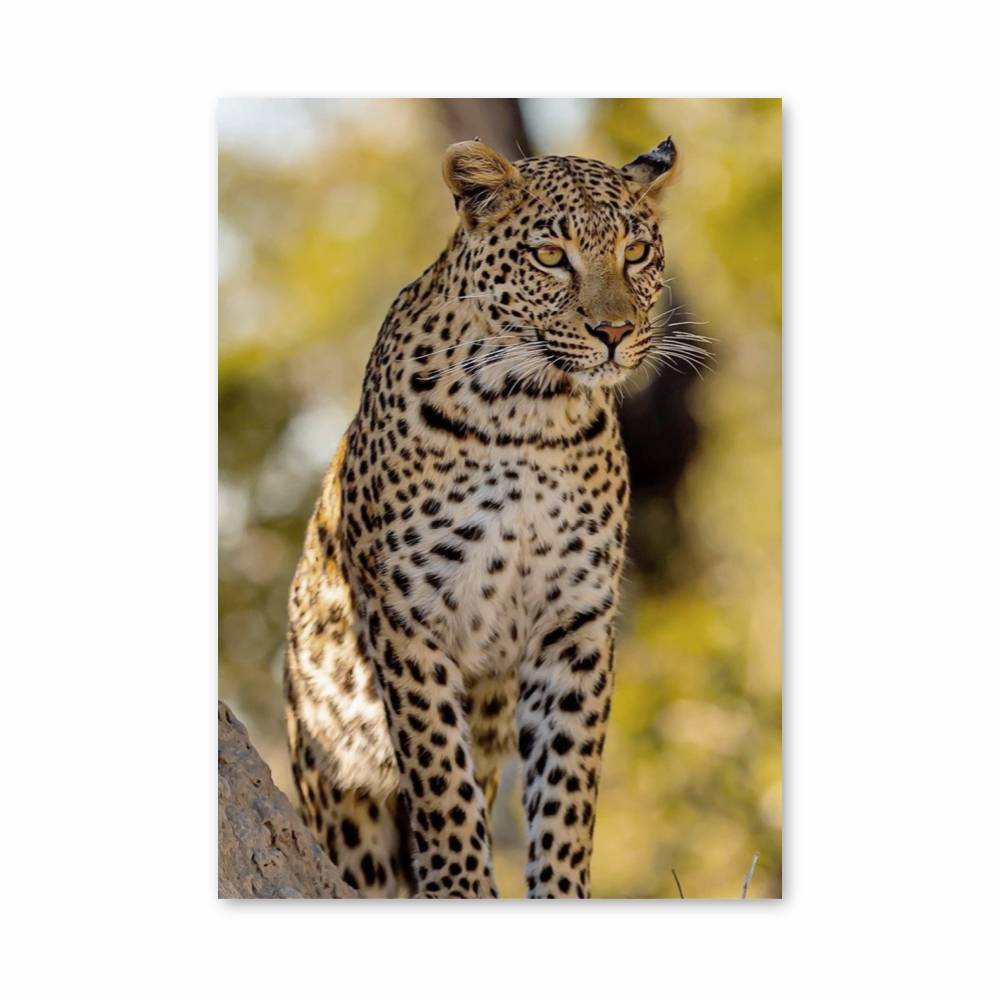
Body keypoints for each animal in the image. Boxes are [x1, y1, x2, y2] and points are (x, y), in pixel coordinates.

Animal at [285, 135, 681, 898]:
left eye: (638, 251)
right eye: (550, 255)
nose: (614, 332)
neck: (529, 413)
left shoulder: (574, 621)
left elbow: (567, 786)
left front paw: (560, 892)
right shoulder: (409, 614)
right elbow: (441, 773)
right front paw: (462, 889)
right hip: (338, 798)